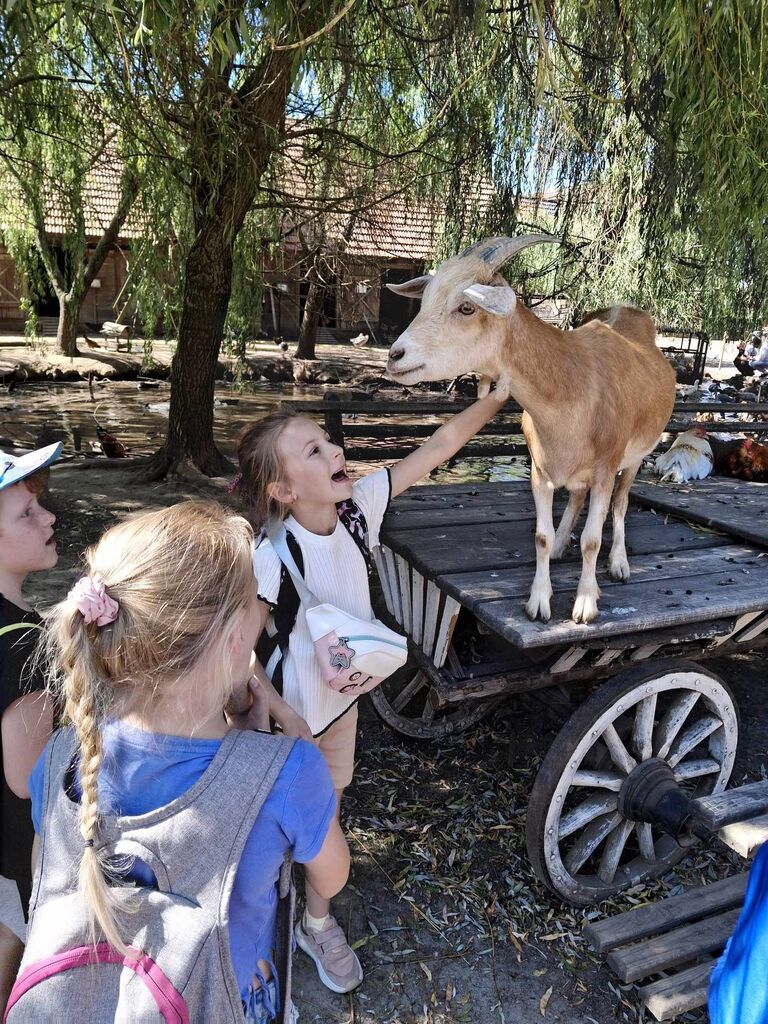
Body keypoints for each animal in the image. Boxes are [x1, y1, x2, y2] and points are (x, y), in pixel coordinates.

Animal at [387, 237, 675, 622]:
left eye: (466, 307)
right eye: (426, 300)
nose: (395, 356)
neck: (572, 385)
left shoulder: (605, 468)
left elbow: (592, 539)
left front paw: (585, 603)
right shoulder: (540, 469)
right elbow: (540, 535)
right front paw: (539, 600)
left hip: (636, 456)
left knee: (621, 502)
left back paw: (618, 564)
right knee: (577, 497)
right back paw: (562, 545)